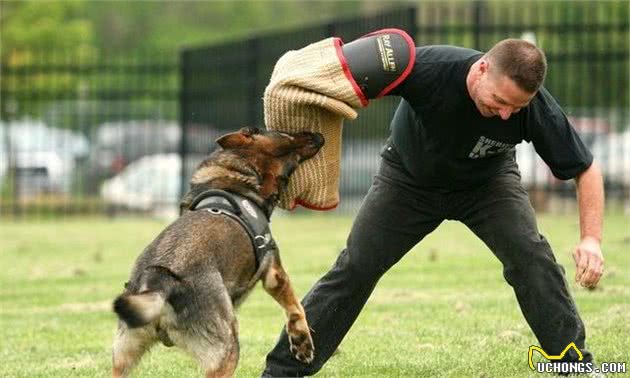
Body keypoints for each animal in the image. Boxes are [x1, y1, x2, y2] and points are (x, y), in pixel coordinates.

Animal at [110, 127, 324, 378]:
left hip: (123, 357)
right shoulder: (274, 274)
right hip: (227, 350)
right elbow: (296, 309)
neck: (237, 176)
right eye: (286, 135)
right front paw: (302, 343)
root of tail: (160, 281)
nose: (318, 134)